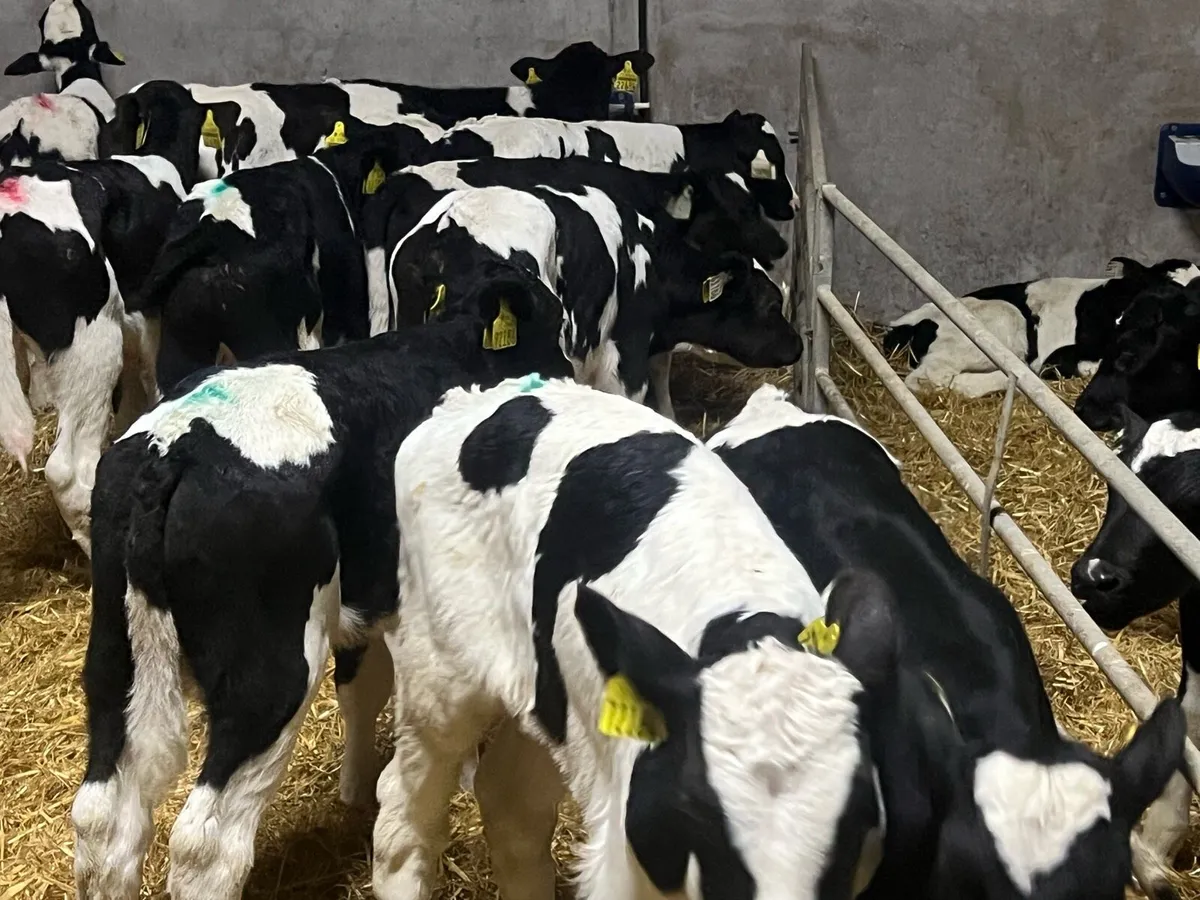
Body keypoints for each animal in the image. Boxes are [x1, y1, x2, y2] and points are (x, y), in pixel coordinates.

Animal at [70, 303, 572, 900]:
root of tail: (173, 447)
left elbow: (360, 686)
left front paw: (356, 790)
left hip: (114, 655)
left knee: (102, 817)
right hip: (270, 675)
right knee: (207, 845)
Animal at [373, 375, 890, 900]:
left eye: (857, 824)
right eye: (695, 810)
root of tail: (473, 399)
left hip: (551, 700)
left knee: (510, 805)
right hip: (439, 674)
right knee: (402, 808)